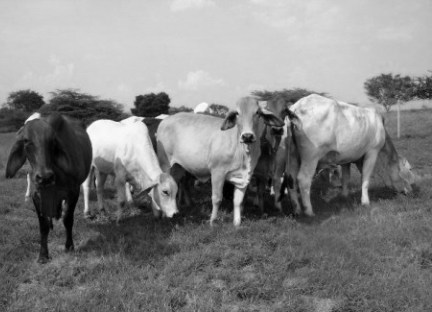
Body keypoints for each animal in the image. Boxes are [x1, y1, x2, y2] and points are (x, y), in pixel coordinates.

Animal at [4, 113, 93, 262]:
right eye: (26, 141)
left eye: (53, 141)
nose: (45, 177)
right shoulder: (36, 195)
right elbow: (43, 225)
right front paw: (43, 255)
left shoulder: (73, 192)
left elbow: (67, 219)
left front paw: (69, 246)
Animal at [155, 96, 284, 225]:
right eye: (237, 113)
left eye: (257, 112)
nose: (247, 136)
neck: (243, 152)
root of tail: (165, 120)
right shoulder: (218, 172)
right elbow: (217, 198)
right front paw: (212, 221)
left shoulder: (245, 176)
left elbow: (238, 200)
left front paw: (237, 223)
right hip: (165, 164)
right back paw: (163, 215)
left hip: (179, 167)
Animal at [280, 94, 416, 216]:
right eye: (409, 169)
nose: (411, 190)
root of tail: (296, 106)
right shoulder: (372, 152)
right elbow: (365, 178)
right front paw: (365, 202)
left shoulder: (347, 159)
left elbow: (346, 178)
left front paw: (344, 195)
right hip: (310, 158)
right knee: (303, 179)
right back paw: (309, 211)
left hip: (292, 156)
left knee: (290, 178)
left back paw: (297, 209)